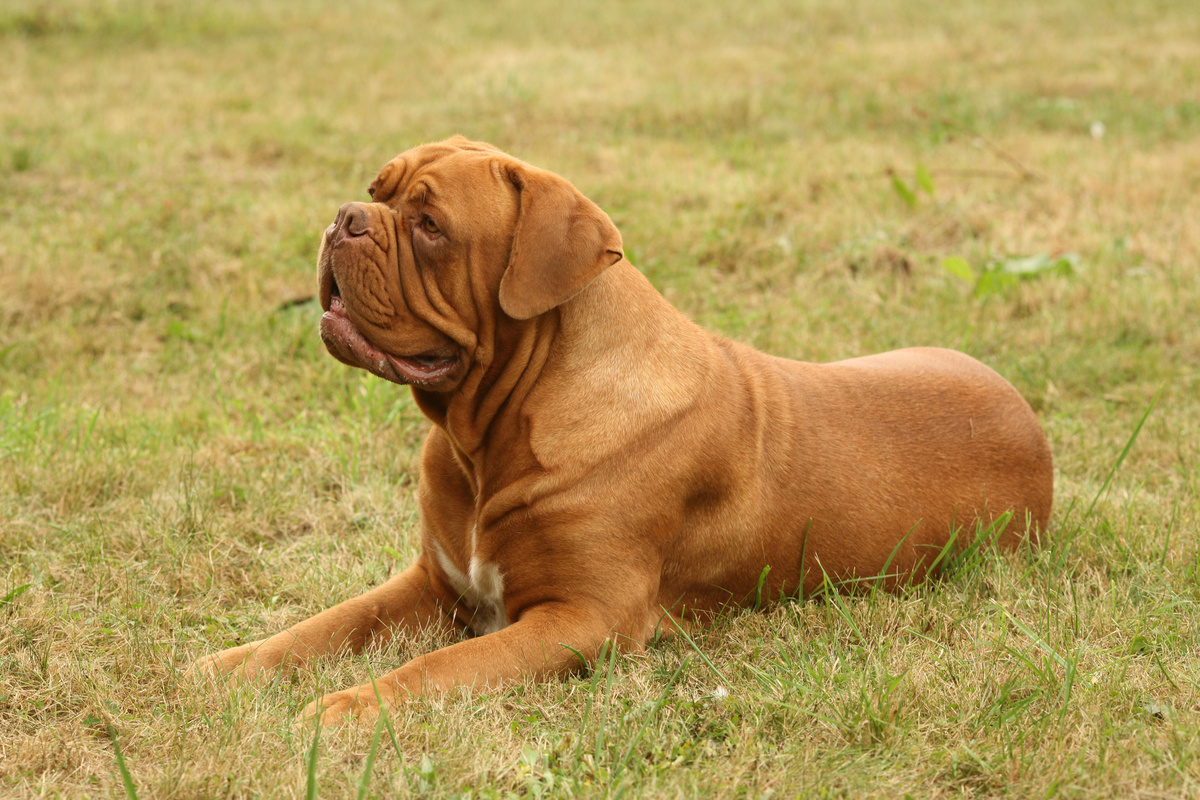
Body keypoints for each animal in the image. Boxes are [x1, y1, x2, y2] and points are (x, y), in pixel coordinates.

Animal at [187, 137, 1051, 724]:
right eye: (375, 189)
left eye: (430, 225)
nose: (345, 219)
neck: (490, 434)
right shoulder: (433, 582)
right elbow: (317, 628)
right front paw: (224, 668)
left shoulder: (579, 620)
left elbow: (435, 669)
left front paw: (345, 709)